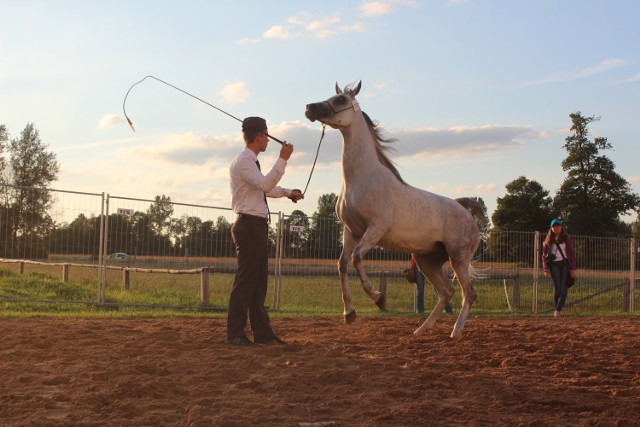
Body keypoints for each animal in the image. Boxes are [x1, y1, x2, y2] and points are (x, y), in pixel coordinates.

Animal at [304, 82, 480, 340]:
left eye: (340, 99)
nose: (310, 107)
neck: (361, 178)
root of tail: (468, 213)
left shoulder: (376, 228)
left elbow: (357, 259)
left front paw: (378, 299)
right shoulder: (351, 231)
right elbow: (343, 264)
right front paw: (349, 313)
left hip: (458, 259)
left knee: (469, 293)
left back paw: (455, 331)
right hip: (427, 261)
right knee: (447, 292)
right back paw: (420, 329)